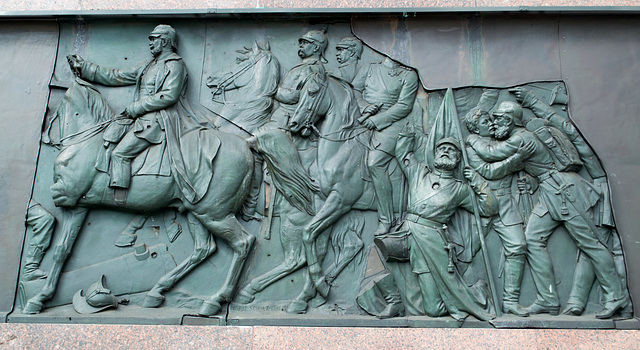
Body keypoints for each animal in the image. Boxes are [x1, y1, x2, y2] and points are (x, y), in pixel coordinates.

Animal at [24, 79, 316, 318]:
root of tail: (247, 143)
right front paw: (40, 297)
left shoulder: (71, 200)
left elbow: (61, 250)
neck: (87, 141)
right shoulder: (80, 206)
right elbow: (63, 250)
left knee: (243, 243)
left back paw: (215, 300)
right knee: (203, 249)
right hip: (196, 212)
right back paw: (158, 292)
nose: (45, 133)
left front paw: (39, 298)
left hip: (215, 214)